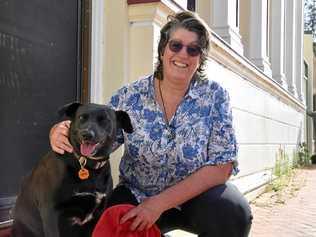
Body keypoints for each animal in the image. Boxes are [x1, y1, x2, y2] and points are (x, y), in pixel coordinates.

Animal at [11, 103, 133, 237]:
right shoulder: (50, 213)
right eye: (81, 117)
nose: (87, 134)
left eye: (104, 120)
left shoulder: (98, 214)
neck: (86, 164)